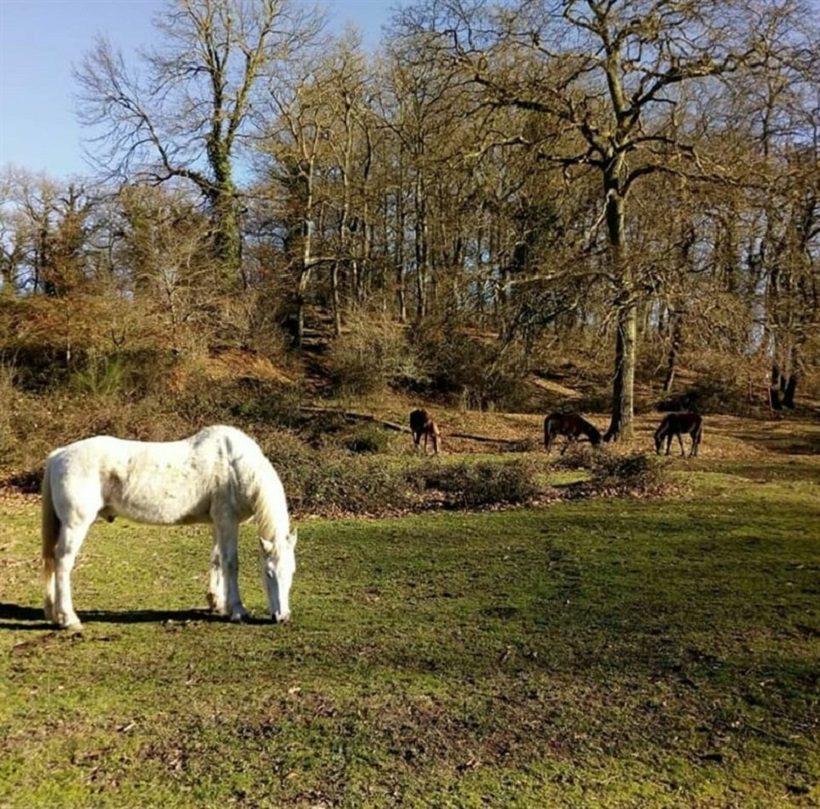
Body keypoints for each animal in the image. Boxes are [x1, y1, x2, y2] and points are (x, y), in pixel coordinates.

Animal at [40, 426, 298, 628]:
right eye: (268, 573)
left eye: (292, 572)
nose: (282, 617)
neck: (234, 465)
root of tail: (58, 455)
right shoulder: (227, 521)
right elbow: (231, 563)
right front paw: (236, 610)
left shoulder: (217, 523)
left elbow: (216, 560)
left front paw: (216, 602)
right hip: (75, 524)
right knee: (63, 561)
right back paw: (69, 619)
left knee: (52, 560)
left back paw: (53, 614)